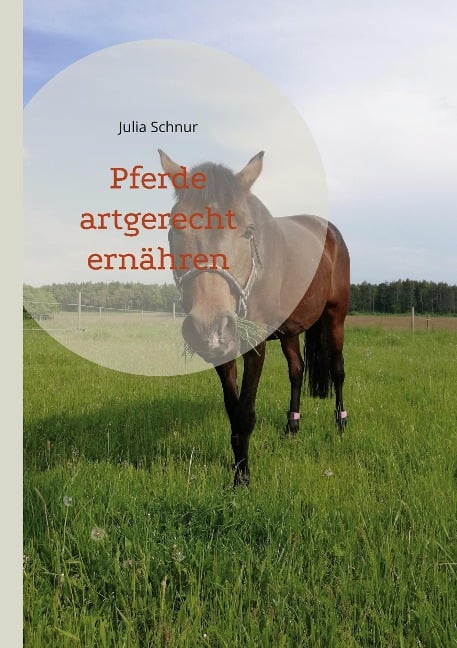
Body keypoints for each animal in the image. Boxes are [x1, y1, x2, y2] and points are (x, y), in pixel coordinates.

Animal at [159, 149, 350, 486]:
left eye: (248, 230)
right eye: (175, 228)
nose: (209, 325)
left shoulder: (255, 343)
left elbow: (246, 412)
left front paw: (242, 480)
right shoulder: (225, 351)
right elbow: (233, 411)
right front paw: (239, 467)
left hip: (335, 316)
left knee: (337, 369)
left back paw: (340, 425)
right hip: (290, 332)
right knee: (297, 371)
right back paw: (292, 427)